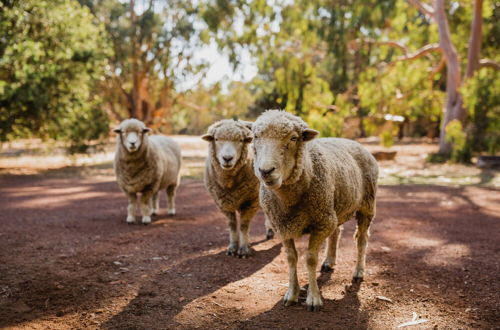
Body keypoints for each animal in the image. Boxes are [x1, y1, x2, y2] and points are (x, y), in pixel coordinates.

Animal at [202, 119, 276, 258]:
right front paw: (232, 247)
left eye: (240, 140)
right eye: (216, 139)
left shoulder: (251, 201)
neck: (229, 182)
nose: (227, 158)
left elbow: (243, 226)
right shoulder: (223, 203)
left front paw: (243, 249)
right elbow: (232, 225)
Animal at [252, 109, 376, 310]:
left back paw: (358, 272)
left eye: (294, 138)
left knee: (362, 239)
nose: (265, 171)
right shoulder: (282, 226)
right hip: (333, 207)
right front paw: (291, 294)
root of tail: (355, 142)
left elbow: (310, 259)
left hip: (366, 206)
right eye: (255, 137)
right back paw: (329, 261)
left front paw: (313, 298)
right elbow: (291, 258)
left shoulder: (320, 224)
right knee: (337, 231)